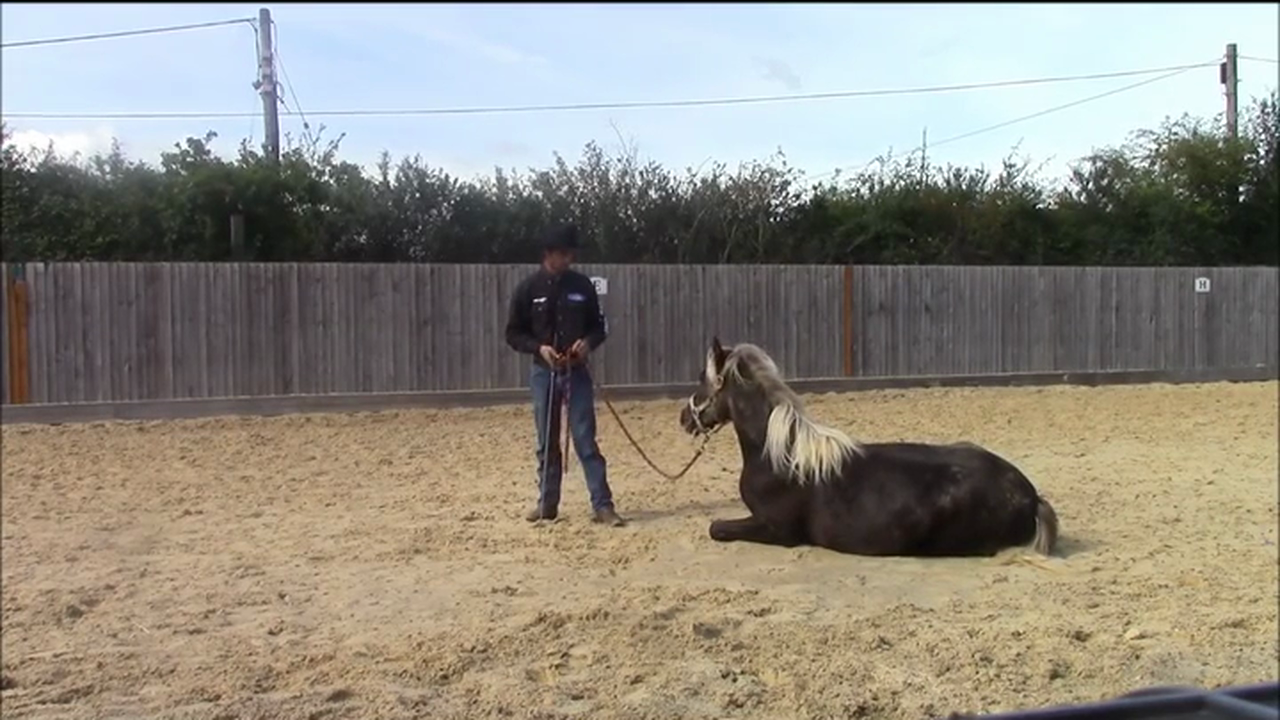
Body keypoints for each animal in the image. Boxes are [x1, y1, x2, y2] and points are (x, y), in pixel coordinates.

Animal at [677, 337, 1060, 557]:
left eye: (701, 377)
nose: (684, 418)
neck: (780, 457)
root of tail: (1029, 494)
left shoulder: (776, 529)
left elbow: (715, 528)